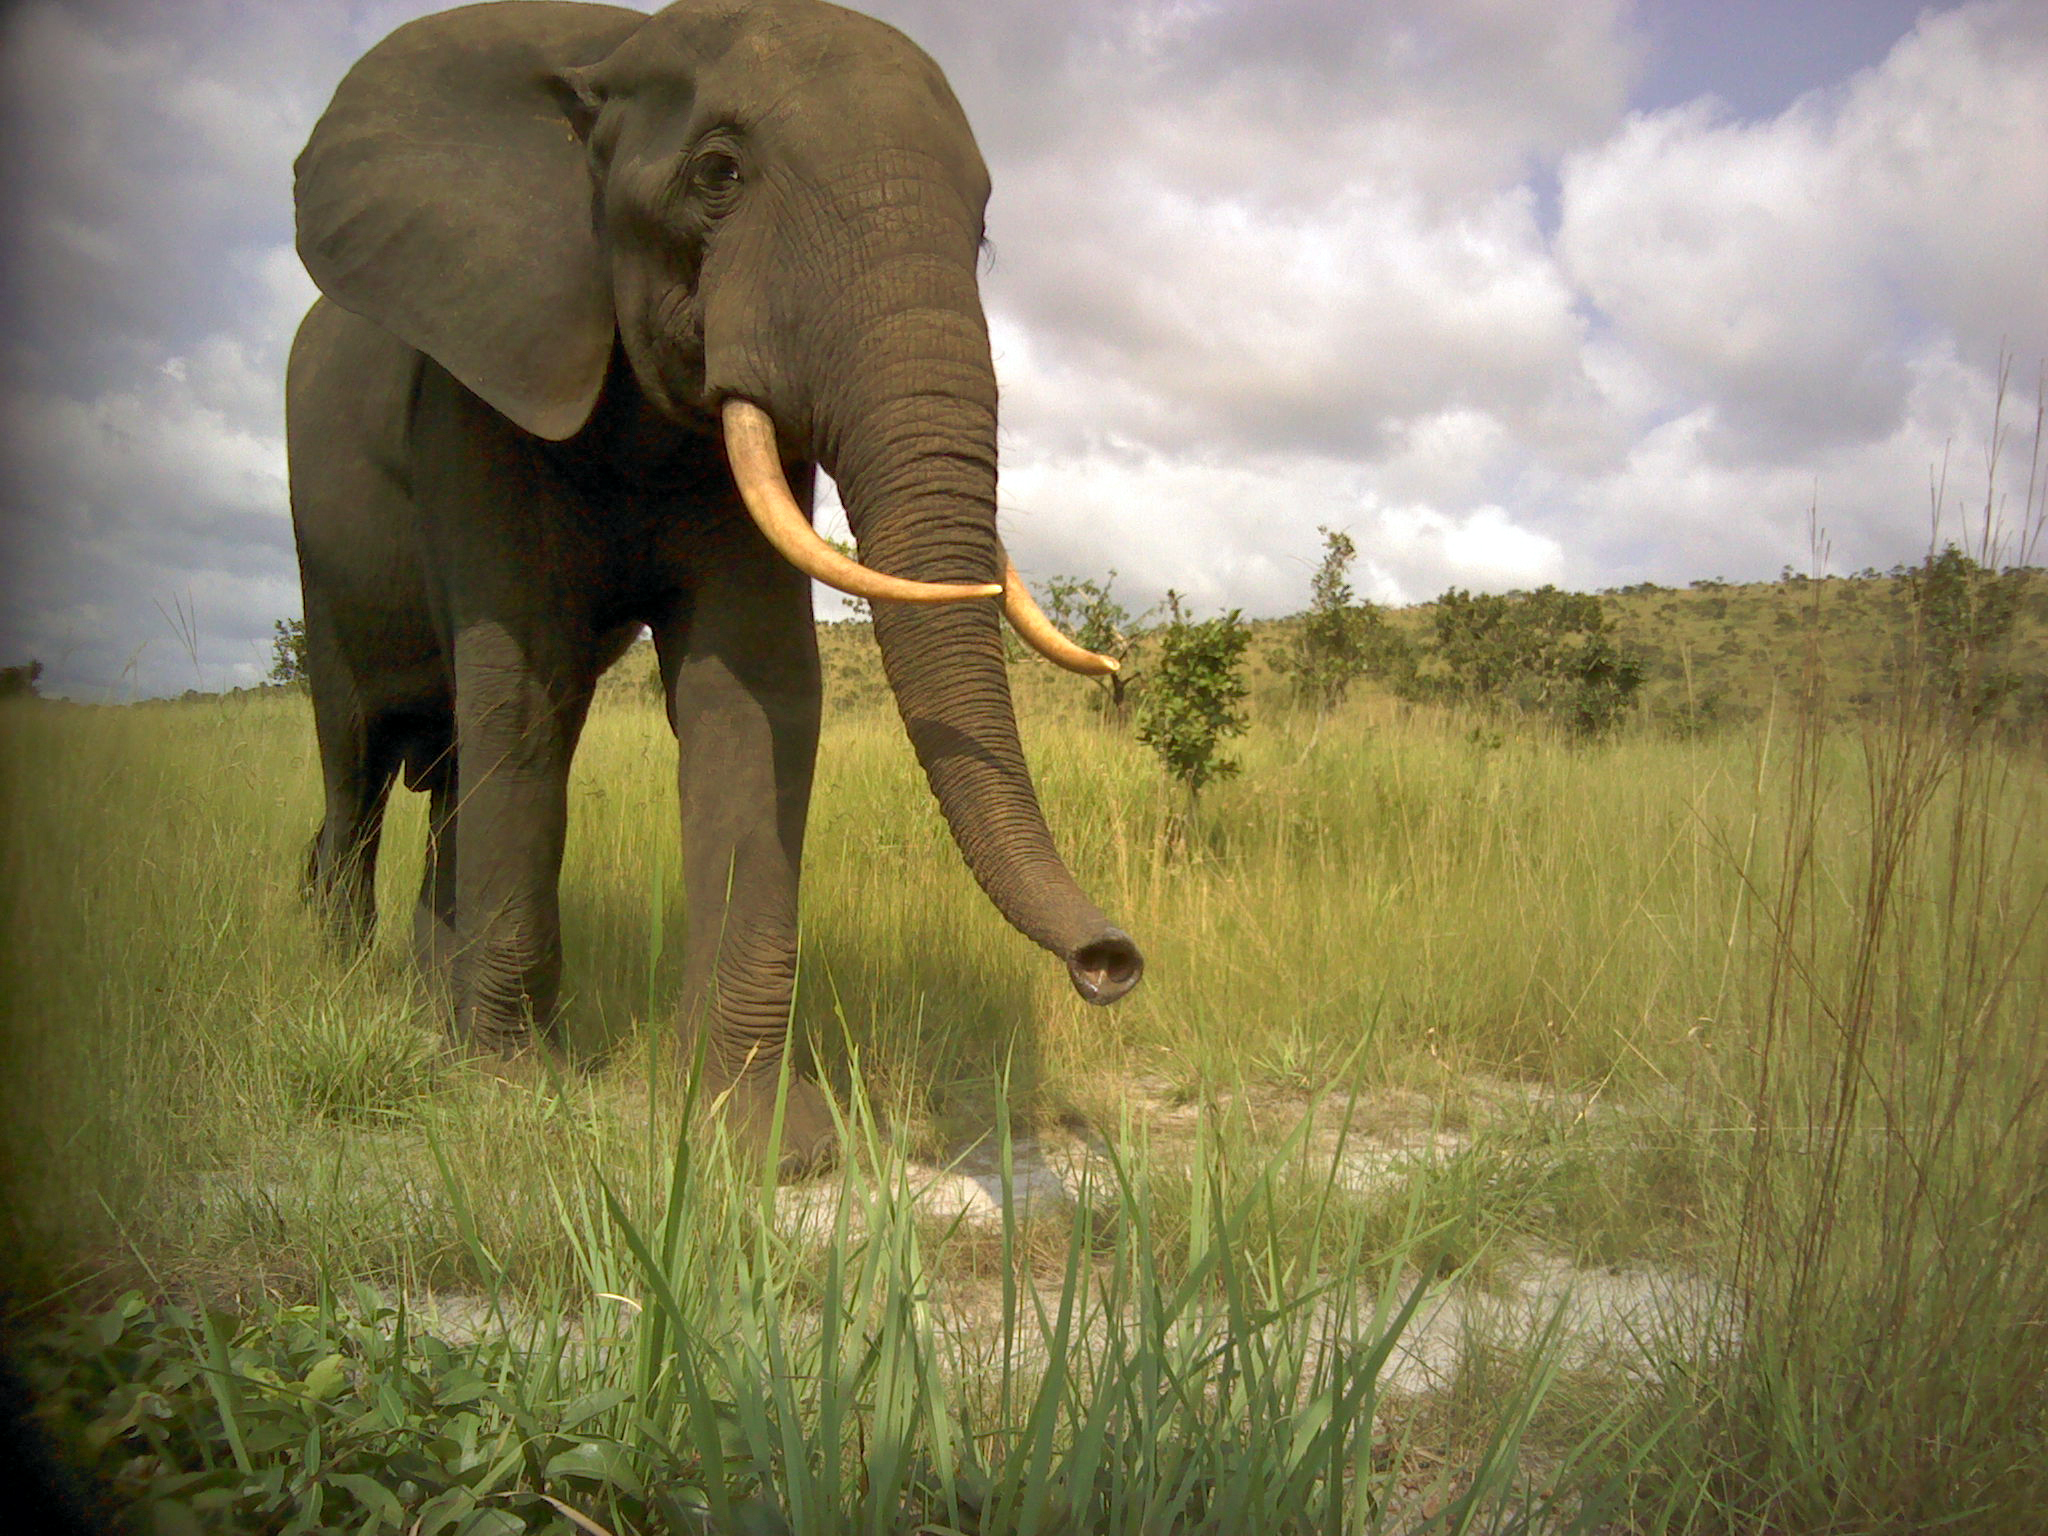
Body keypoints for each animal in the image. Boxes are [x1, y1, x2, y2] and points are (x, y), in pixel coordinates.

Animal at [287, 0, 1143, 1171]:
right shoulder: (475, 392)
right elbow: (525, 689)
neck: (608, 54)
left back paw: (432, 1010)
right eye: (718, 174)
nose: (1111, 962)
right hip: (320, 558)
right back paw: (350, 985)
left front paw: (759, 1139)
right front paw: (511, 1094)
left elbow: (750, 695)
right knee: (360, 760)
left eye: (980, 235)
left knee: (450, 769)